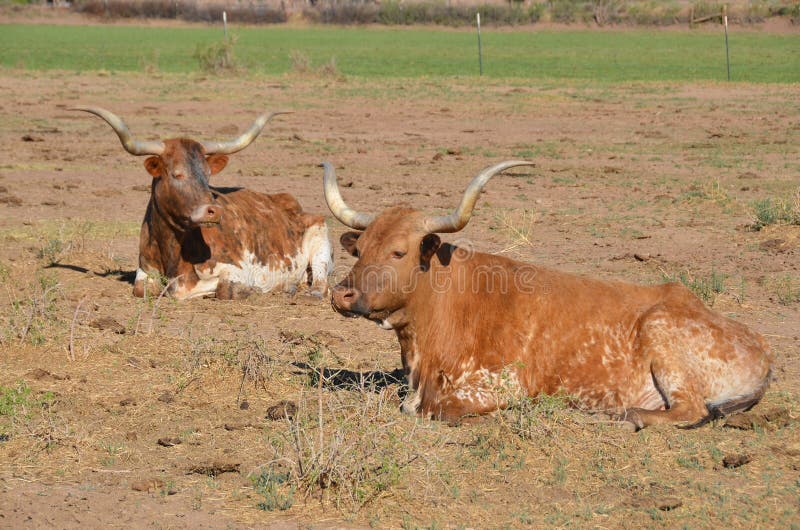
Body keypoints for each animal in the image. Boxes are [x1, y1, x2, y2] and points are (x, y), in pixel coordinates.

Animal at [75, 105, 332, 300]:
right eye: (177, 174)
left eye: (208, 175)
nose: (213, 211)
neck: (173, 245)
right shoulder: (144, 269)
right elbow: (142, 289)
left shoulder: (238, 270)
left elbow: (218, 289)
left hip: (321, 239)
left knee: (321, 282)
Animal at [324, 159, 776, 426]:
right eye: (360, 250)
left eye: (399, 251)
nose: (341, 294)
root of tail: (760, 345)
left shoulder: (497, 386)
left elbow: (437, 409)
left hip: (663, 332)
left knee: (689, 409)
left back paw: (632, 414)